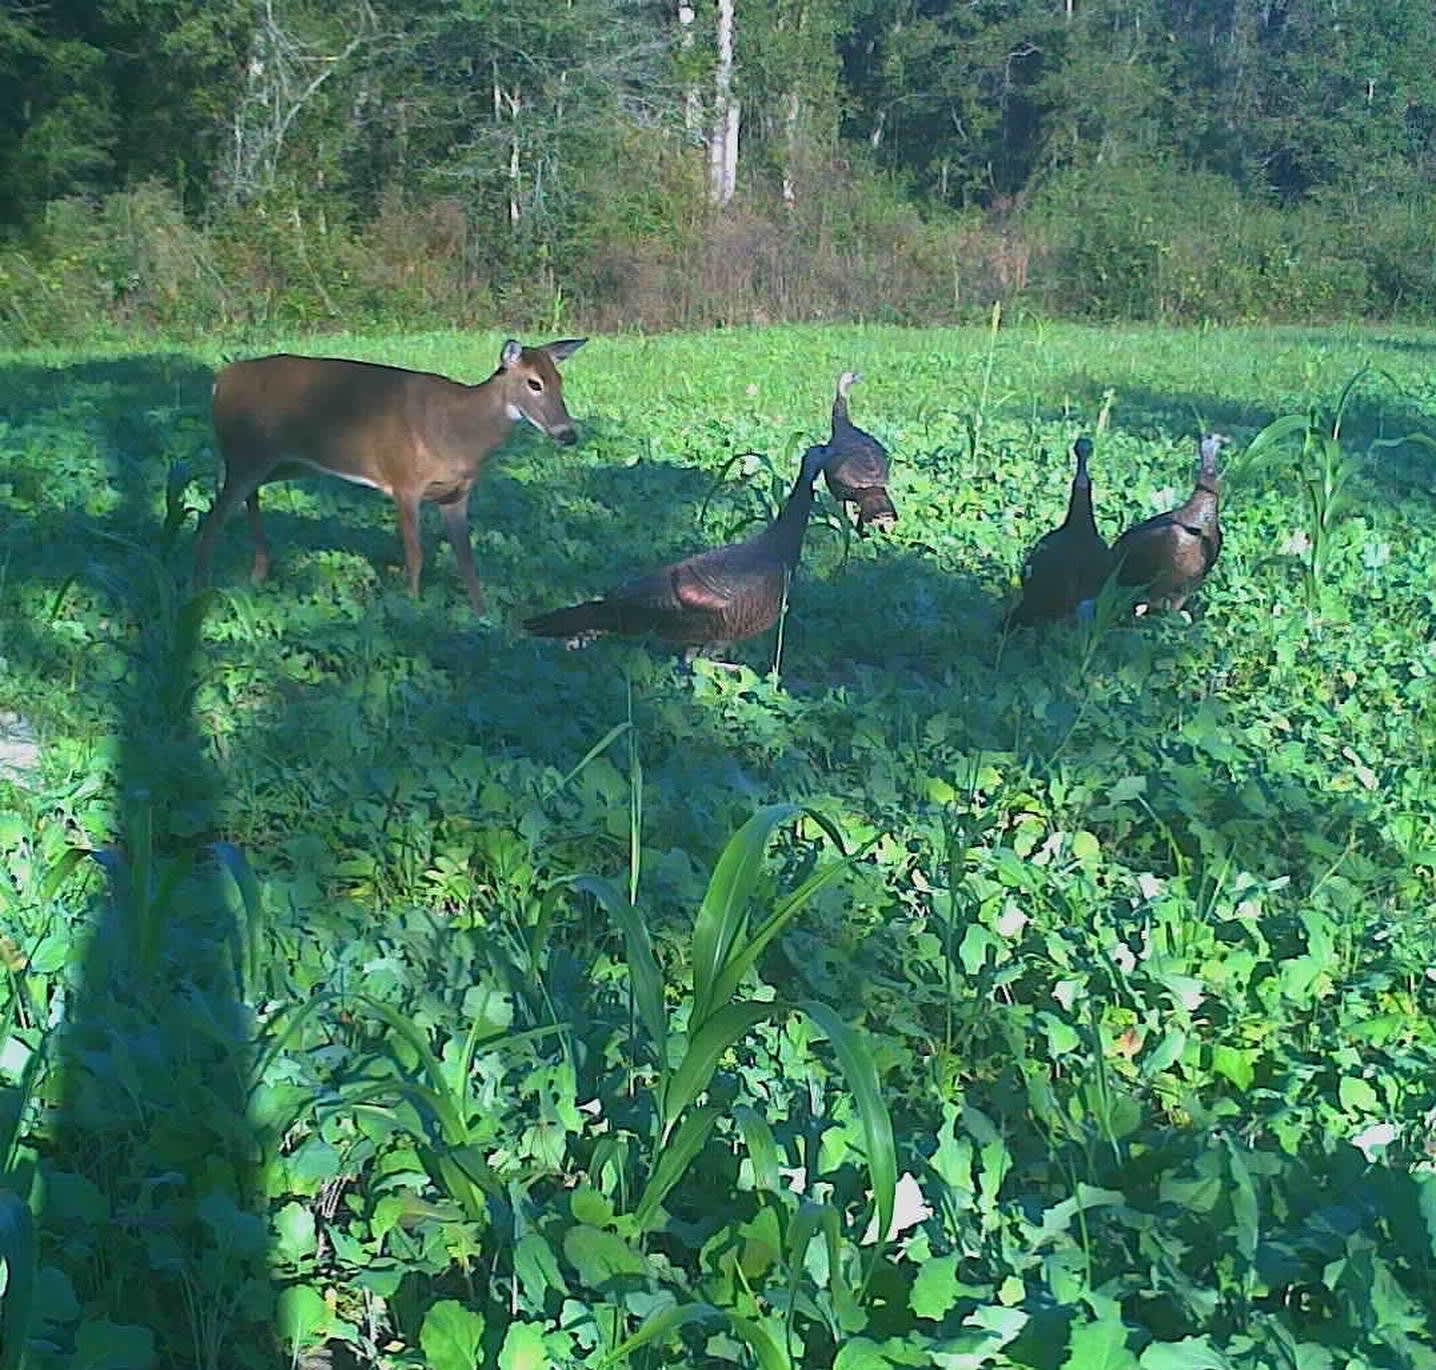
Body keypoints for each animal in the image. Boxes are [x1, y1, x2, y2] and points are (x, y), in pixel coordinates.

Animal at [193, 336, 585, 608]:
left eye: (560, 380)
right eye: (534, 383)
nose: (568, 434)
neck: (457, 432)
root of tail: (219, 380)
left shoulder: (456, 494)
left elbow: (467, 559)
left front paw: (483, 617)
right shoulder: (404, 481)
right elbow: (415, 554)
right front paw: (411, 608)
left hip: (280, 463)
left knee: (243, 502)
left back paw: (257, 573)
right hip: (246, 454)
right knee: (210, 519)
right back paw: (201, 588)